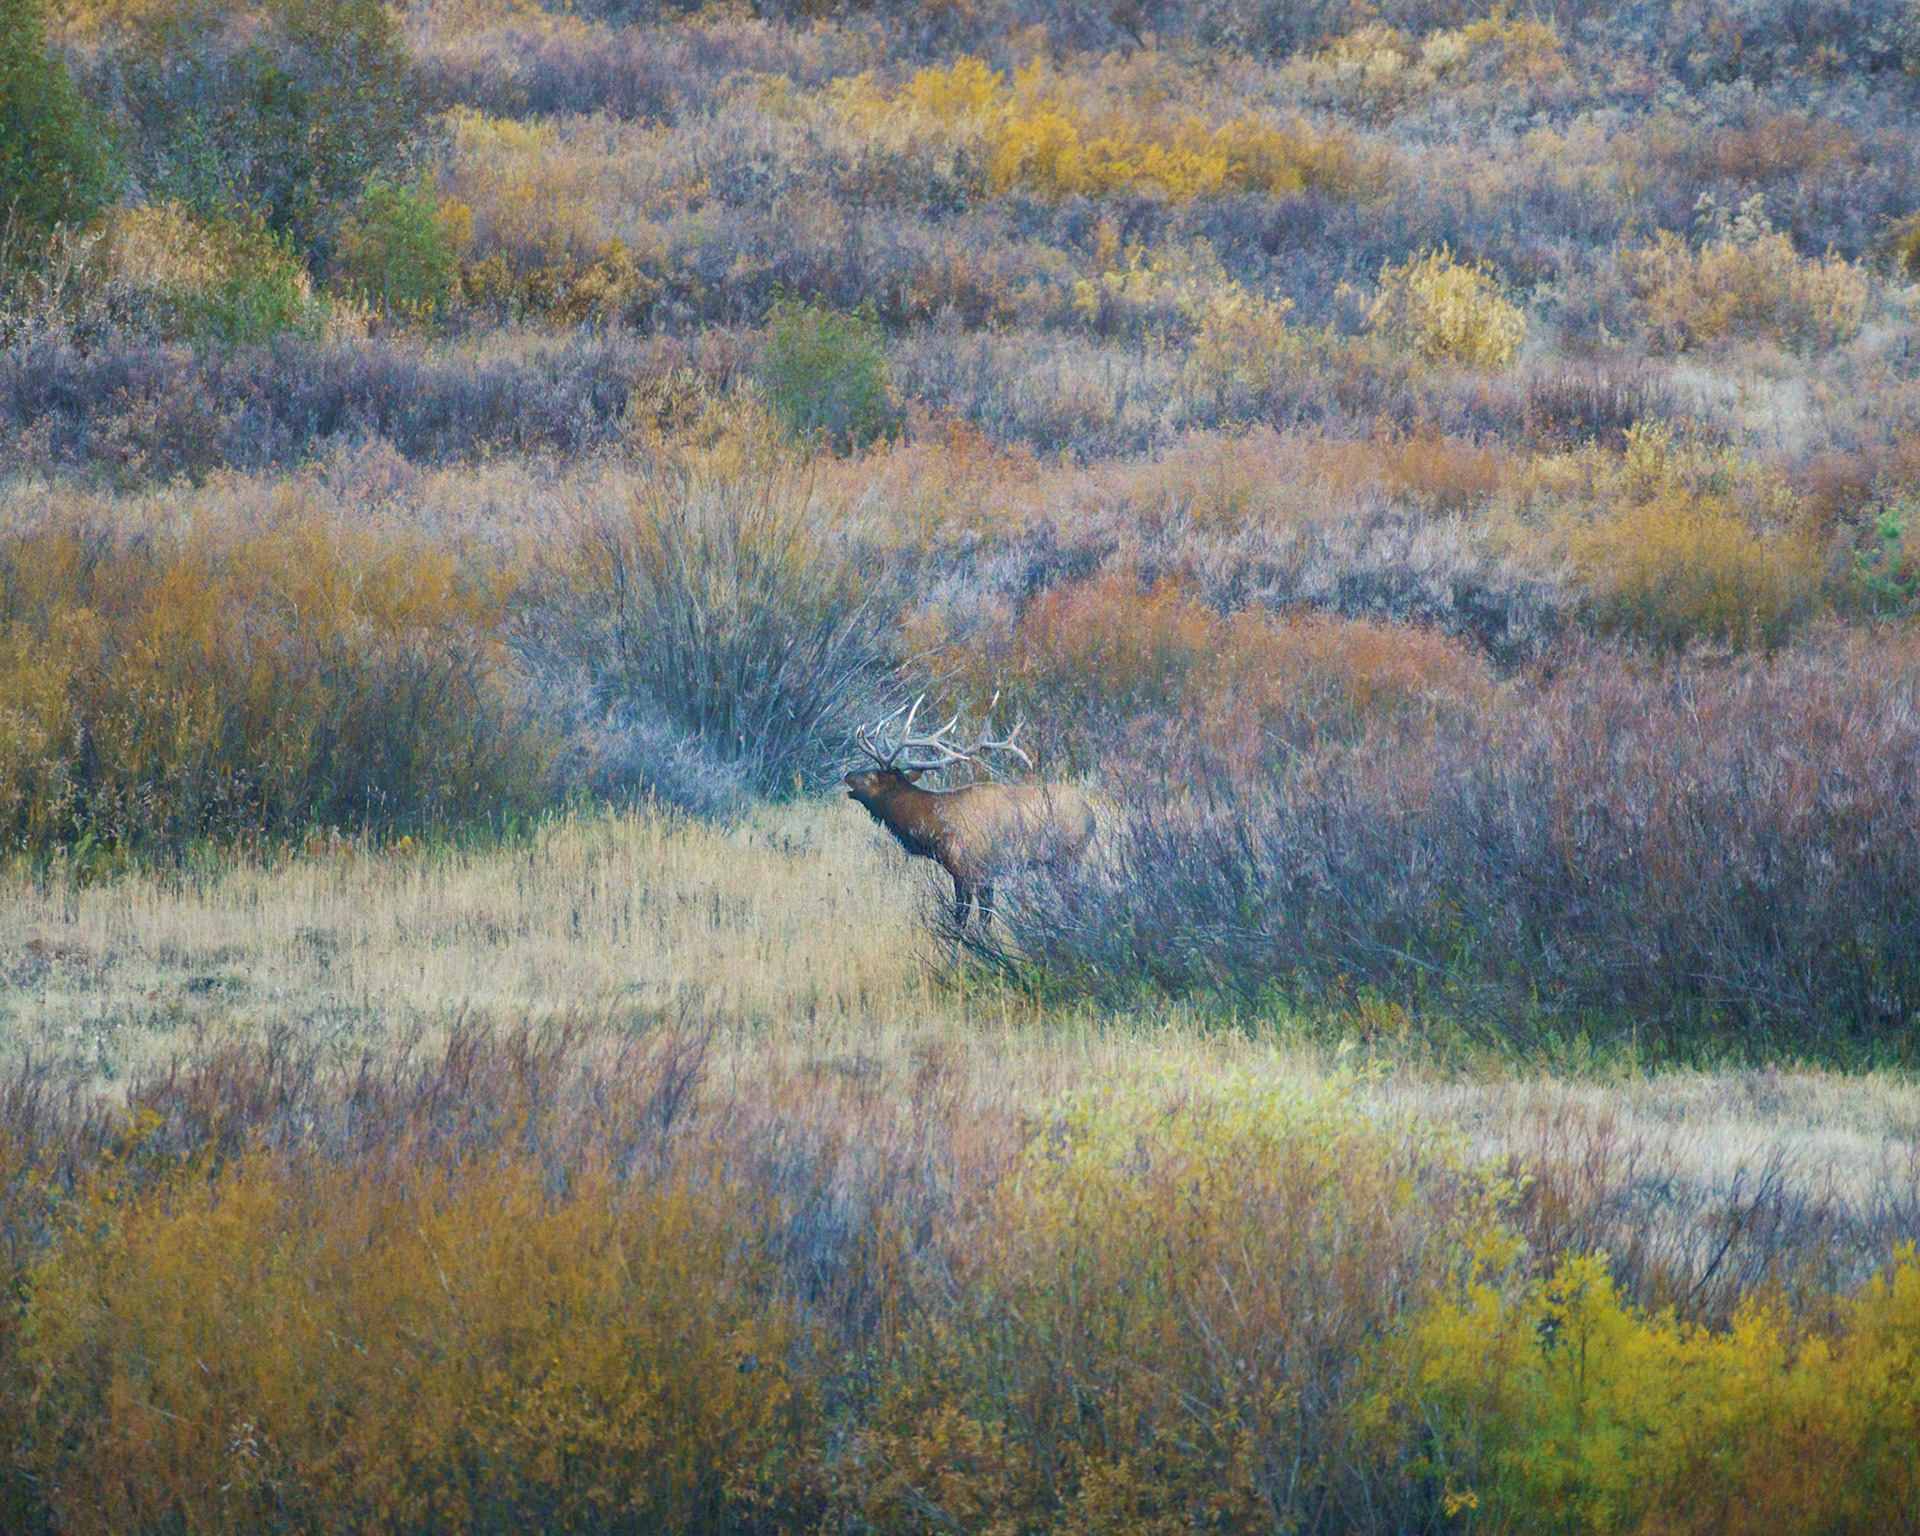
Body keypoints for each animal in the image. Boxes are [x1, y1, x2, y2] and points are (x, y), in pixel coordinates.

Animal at [844, 696, 1095, 930]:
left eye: (871, 776)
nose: (847, 775)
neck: (935, 829)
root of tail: (1090, 816)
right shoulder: (984, 876)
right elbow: (985, 918)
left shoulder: (968, 871)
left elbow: (963, 919)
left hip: (1067, 857)